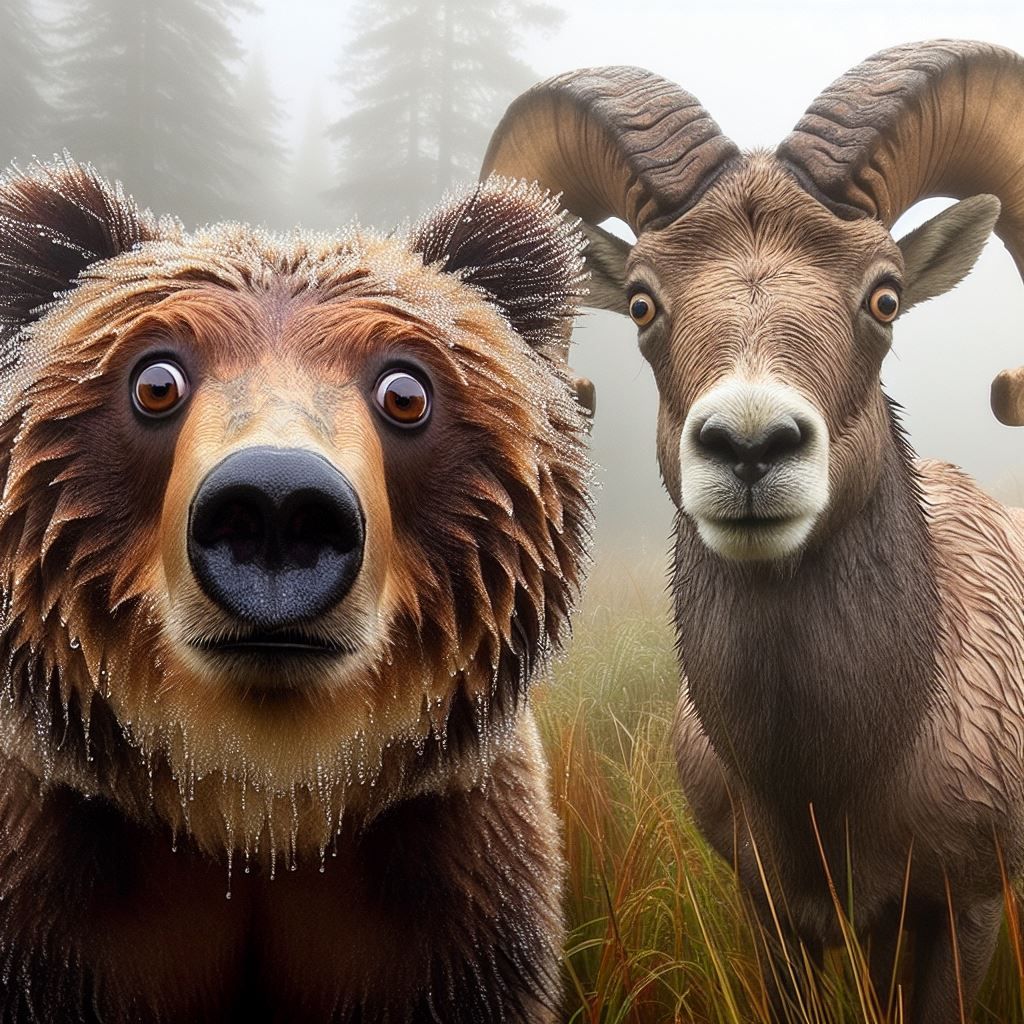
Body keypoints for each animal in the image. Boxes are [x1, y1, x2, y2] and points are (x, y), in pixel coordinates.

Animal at [0, 157, 592, 1023]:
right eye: (156, 380)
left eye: (406, 390)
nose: (277, 504)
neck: (262, 811)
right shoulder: (51, 886)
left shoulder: (455, 895)